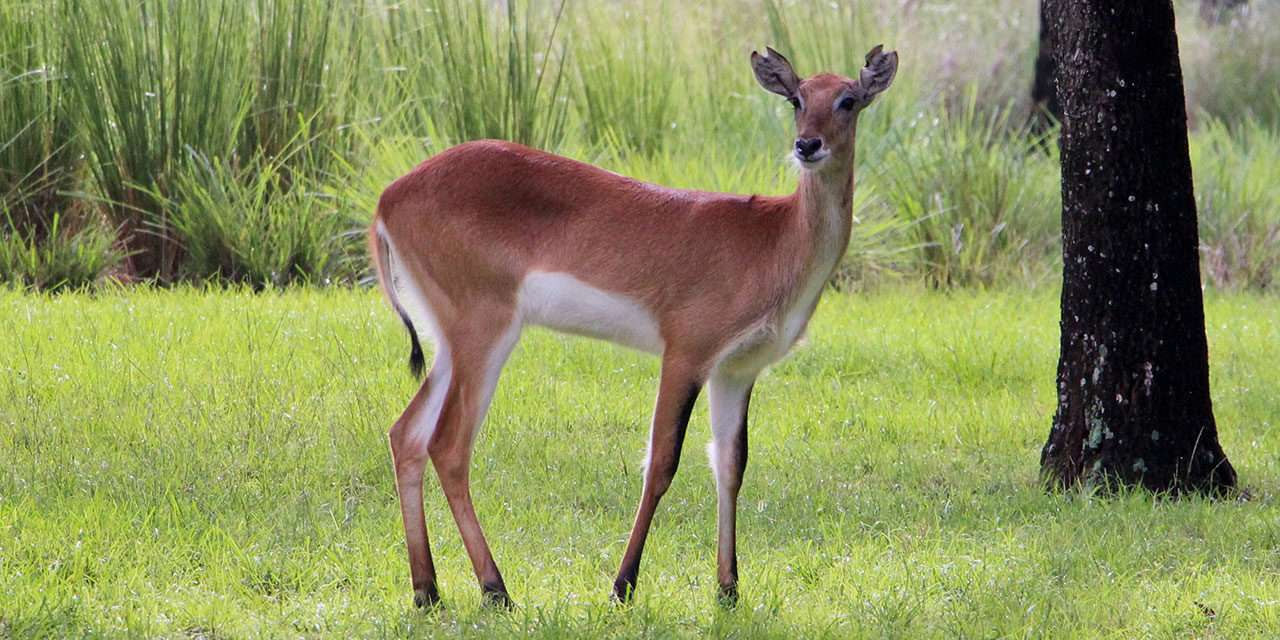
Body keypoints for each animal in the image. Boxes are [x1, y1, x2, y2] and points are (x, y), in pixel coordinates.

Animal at [366, 46, 896, 609]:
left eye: (847, 99)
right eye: (797, 99)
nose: (807, 145)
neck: (773, 240)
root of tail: (388, 197)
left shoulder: (736, 371)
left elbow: (731, 465)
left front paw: (728, 589)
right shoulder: (685, 354)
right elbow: (661, 463)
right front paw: (623, 585)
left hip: (449, 344)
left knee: (406, 434)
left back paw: (427, 590)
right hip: (484, 333)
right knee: (448, 446)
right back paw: (496, 589)